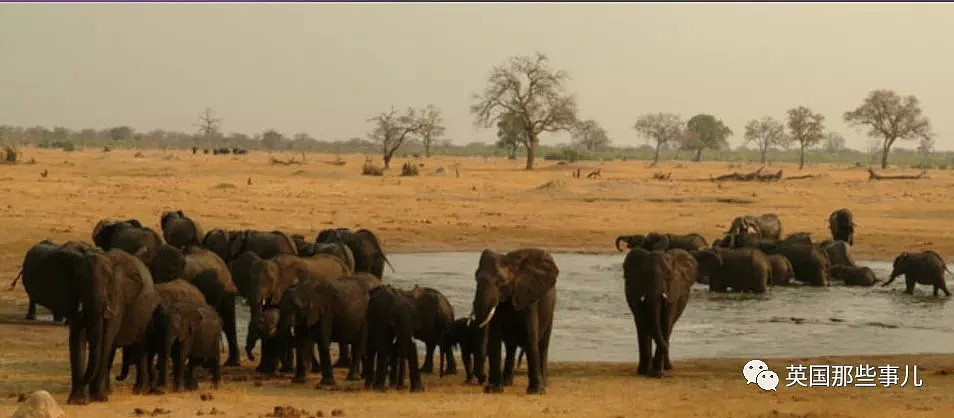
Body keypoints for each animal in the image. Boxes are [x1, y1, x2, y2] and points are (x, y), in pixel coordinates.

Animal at [470, 248, 556, 396]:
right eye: (476, 278)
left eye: (501, 281)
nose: (483, 379)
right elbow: (494, 338)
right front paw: (493, 389)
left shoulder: (528, 296)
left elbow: (530, 336)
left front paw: (535, 391)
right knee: (511, 346)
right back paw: (507, 382)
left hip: (550, 310)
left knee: (543, 344)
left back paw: (544, 384)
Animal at [620, 248, 696, 378]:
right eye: (643, 275)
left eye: (668, 274)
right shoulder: (636, 293)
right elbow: (642, 323)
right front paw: (644, 372)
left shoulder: (673, 293)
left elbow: (666, 323)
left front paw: (657, 374)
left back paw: (666, 367)